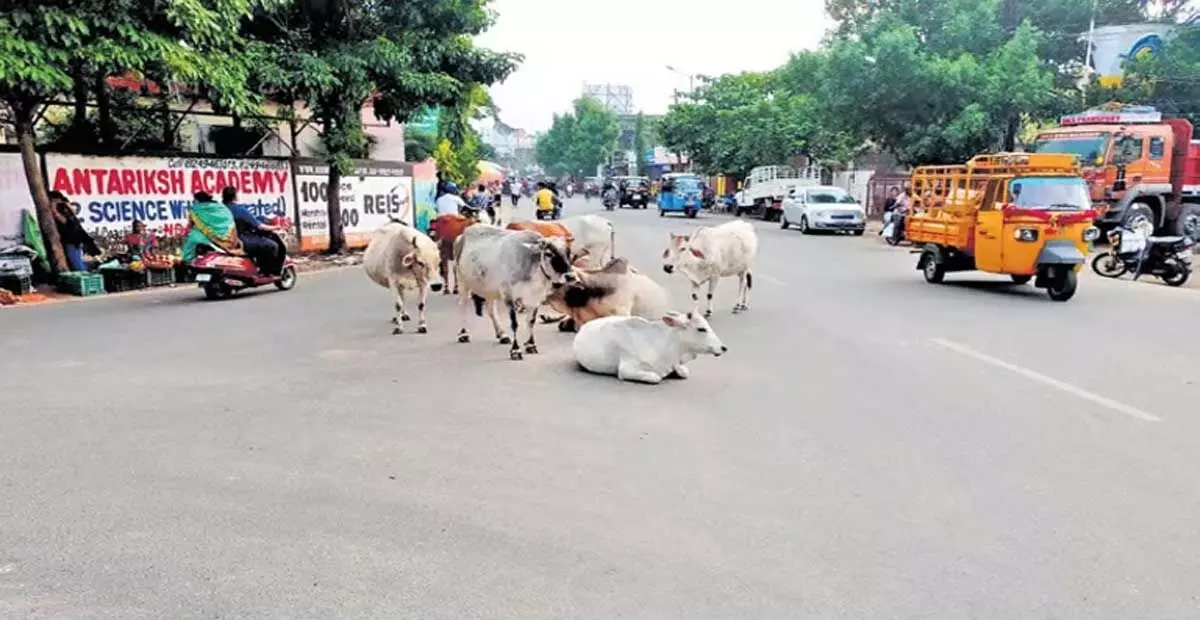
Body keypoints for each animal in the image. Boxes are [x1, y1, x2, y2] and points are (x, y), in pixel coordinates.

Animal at [451, 224, 578, 359]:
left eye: (568, 252)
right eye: (549, 253)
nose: (570, 276)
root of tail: (463, 235)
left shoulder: (535, 299)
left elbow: (531, 321)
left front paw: (531, 345)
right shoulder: (509, 296)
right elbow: (514, 323)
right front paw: (515, 350)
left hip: (490, 290)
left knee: (491, 310)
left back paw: (502, 335)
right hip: (462, 282)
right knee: (463, 306)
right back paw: (463, 334)